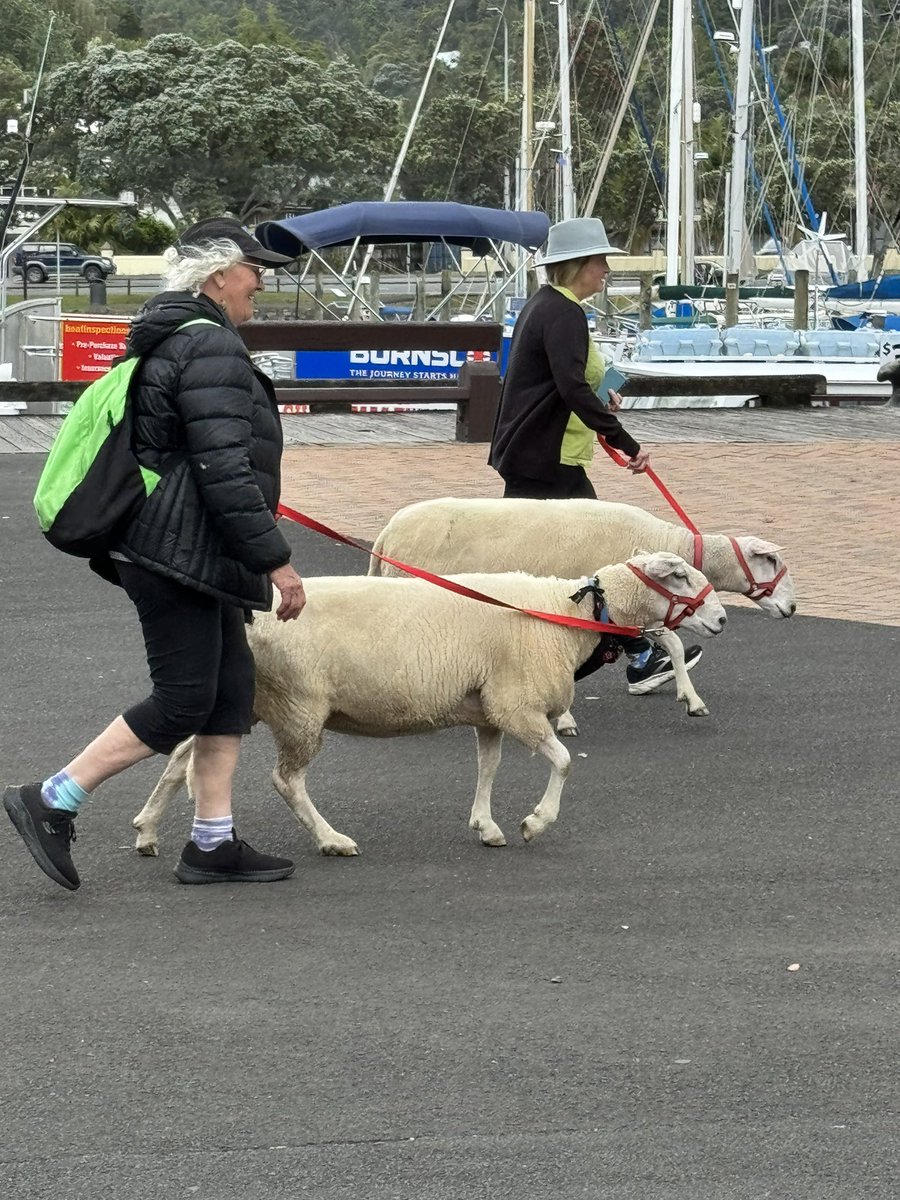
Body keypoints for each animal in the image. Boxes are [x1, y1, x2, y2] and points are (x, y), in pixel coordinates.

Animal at [132, 552, 727, 858]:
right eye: (685, 578)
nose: (721, 618)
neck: (565, 615)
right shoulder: (517, 704)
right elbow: (561, 762)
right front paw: (534, 823)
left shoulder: (491, 710)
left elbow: (488, 766)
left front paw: (486, 826)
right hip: (300, 705)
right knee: (285, 780)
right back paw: (331, 839)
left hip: (251, 697)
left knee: (181, 756)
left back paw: (147, 830)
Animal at [368, 496, 796, 735]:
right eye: (773, 561)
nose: (792, 608)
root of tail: (387, 533)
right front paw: (566, 721)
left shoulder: (631, 610)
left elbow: (673, 643)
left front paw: (688, 697)